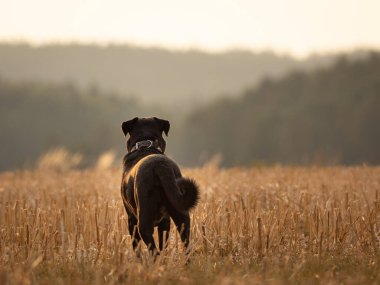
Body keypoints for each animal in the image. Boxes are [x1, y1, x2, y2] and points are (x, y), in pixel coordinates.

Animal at [121, 116, 199, 254]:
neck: (145, 145)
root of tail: (159, 166)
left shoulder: (131, 220)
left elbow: (136, 248)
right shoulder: (165, 222)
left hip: (143, 222)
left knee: (154, 250)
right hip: (182, 215)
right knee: (186, 246)